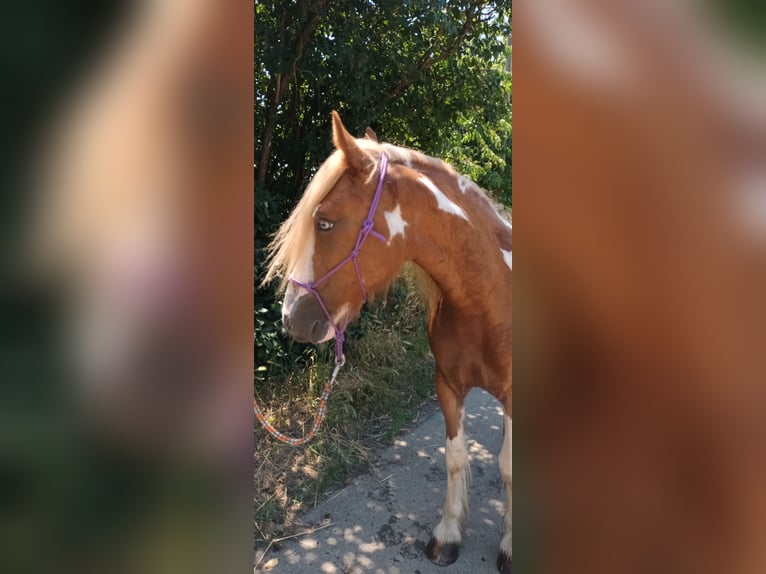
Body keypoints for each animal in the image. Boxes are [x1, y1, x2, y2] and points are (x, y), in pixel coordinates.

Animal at [264, 111, 513, 571]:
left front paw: (509, 542)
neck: (488, 297)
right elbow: (455, 458)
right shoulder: (447, 385)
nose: (291, 319)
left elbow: (506, 466)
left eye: (325, 222)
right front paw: (447, 534)